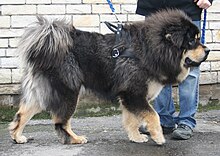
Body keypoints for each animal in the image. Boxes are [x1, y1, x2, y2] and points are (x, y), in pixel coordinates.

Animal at [9, 8, 210, 145]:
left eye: (197, 38)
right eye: (191, 41)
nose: (208, 49)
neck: (149, 50)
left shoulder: (130, 96)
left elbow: (132, 120)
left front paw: (136, 137)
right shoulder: (134, 93)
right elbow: (153, 116)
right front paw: (158, 137)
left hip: (43, 91)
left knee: (22, 114)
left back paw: (17, 136)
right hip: (69, 92)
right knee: (61, 122)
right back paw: (75, 139)